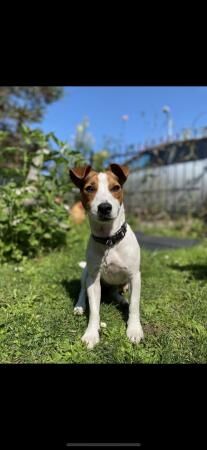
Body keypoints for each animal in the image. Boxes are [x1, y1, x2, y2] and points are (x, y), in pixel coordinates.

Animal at [68, 163, 143, 350]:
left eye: (116, 188)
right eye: (89, 188)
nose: (104, 207)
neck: (109, 240)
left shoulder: (135, 276)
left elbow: (135, 305)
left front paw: (134, 329)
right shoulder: (94, 280)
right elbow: (94, 310)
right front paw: (91, 334)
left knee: (119, 292)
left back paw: (122, 299)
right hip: (86, 273)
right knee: (82, 291)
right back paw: (80, 306)